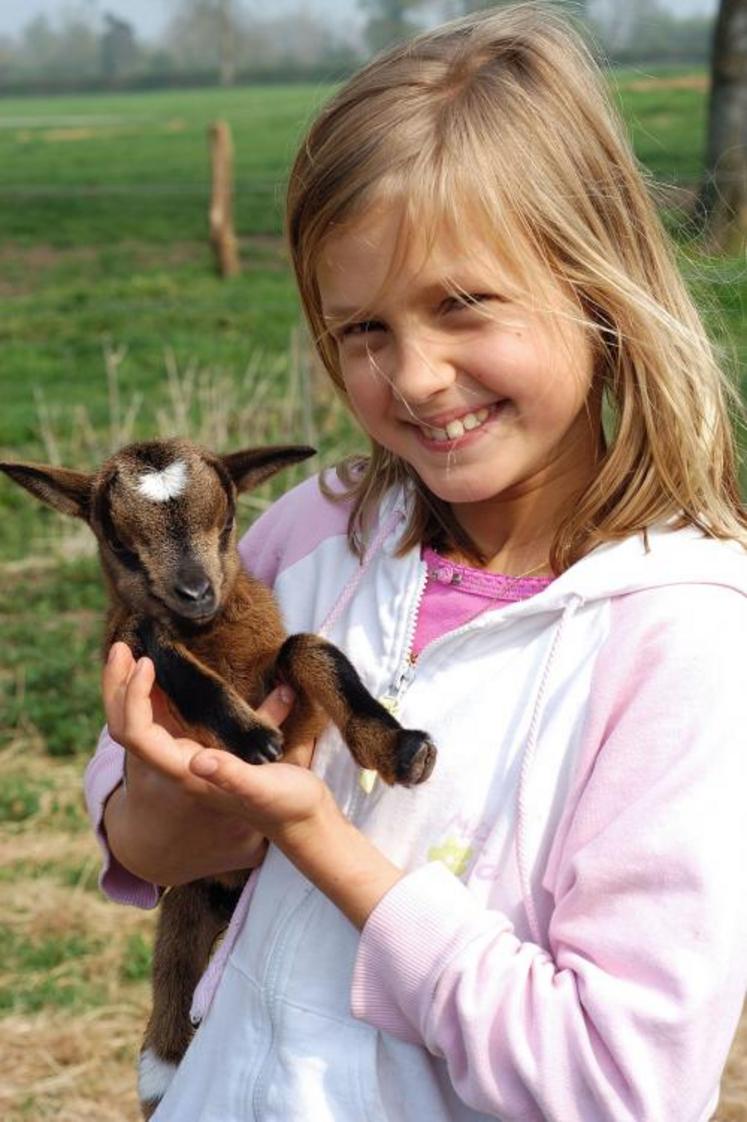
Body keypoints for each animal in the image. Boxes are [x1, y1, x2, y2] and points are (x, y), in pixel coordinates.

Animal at [0, 437, 432, 1113]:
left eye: (227, 522)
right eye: (118, 541)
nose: (195, 591)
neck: (212, 637)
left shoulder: (296, 707)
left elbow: (308, 648)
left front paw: (401, 748)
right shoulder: (133, 644)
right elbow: (154, 639)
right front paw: (250, 738)